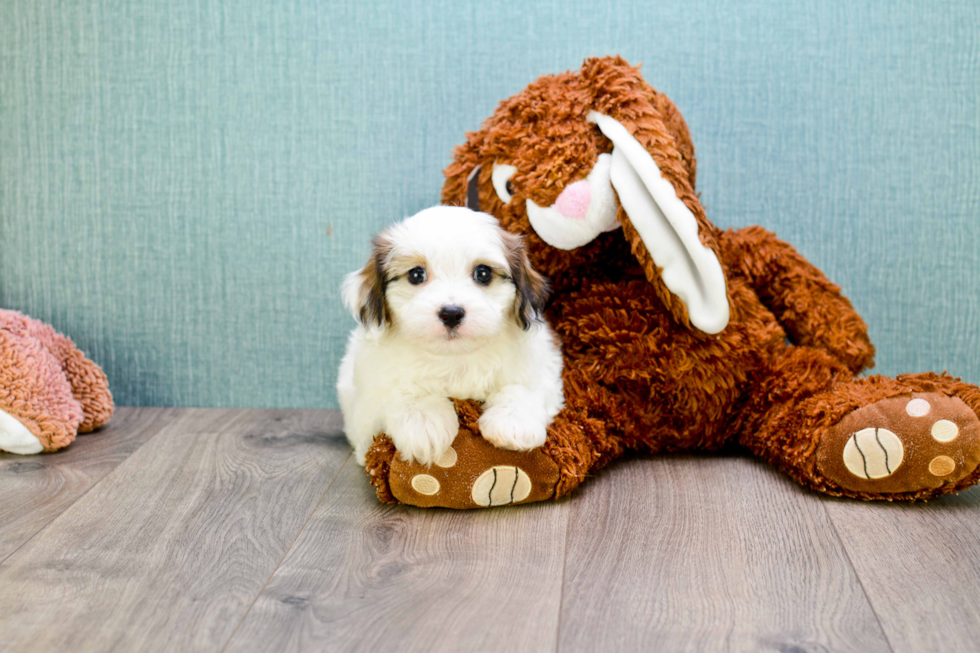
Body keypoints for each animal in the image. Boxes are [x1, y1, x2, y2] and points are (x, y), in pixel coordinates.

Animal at [338, 204, 564, 464]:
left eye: (483, 273)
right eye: (416, 274)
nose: (451, 313)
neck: (455, 358)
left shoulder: (544, 368)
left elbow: (525, 386)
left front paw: (513, 421)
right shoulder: (367, 400)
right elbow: (398, 390)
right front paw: (423, 421)